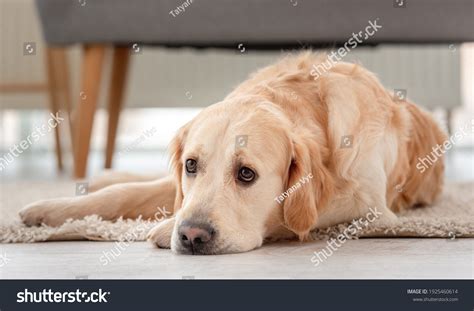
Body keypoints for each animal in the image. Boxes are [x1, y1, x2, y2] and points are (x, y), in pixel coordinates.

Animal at [20, 52, 446, 255]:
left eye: (246, 174)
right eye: (192, 165)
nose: (190, 235)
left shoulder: (371, 207)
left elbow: (294, 214)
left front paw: (163, 228)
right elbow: (124, 195)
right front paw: (50, 209)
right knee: (136, 183)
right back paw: (102, 177)